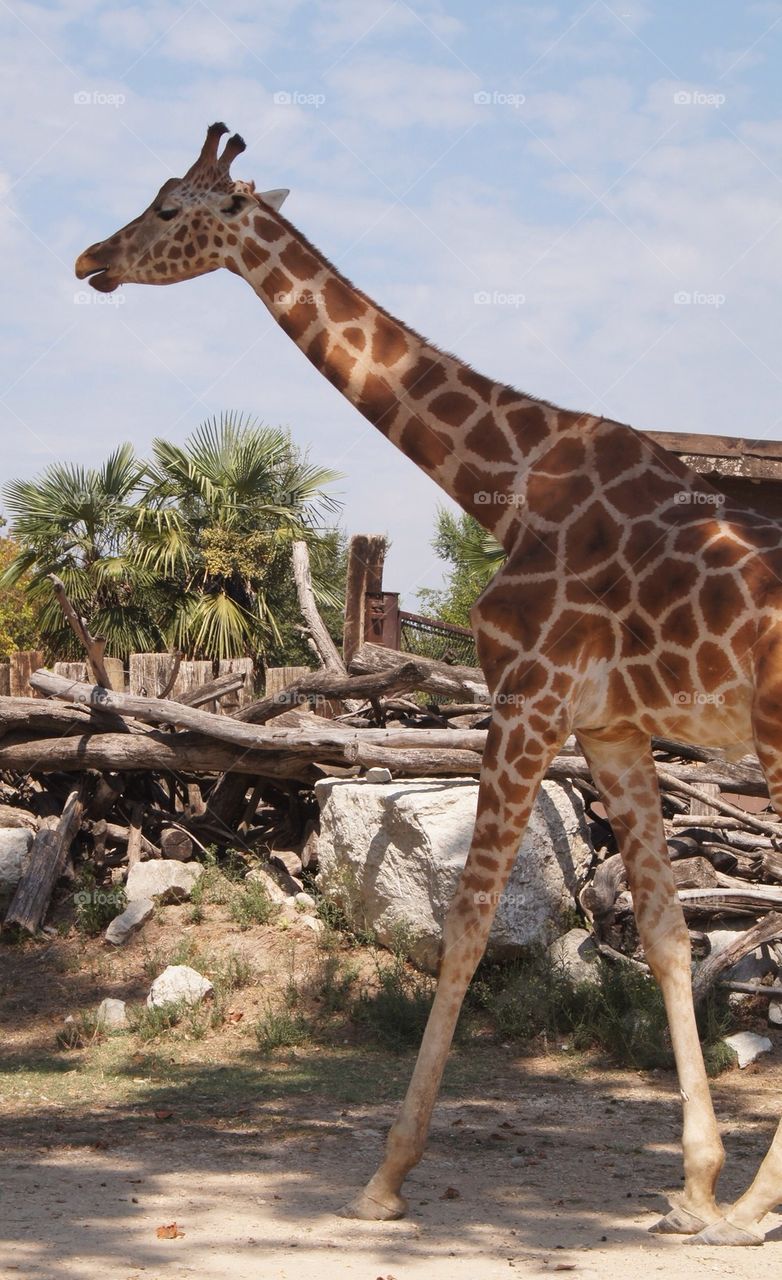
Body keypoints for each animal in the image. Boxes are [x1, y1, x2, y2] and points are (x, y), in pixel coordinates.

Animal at [76, 123, 782, 1246]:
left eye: (170, 205)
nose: (88, 258)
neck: (512, 477)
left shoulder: (528, 694)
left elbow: (464, 924)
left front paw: (385, 1175)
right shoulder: (612, 727)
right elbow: (670, 936)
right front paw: (698, 1184)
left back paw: (759, 1205)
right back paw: (745, 1200)